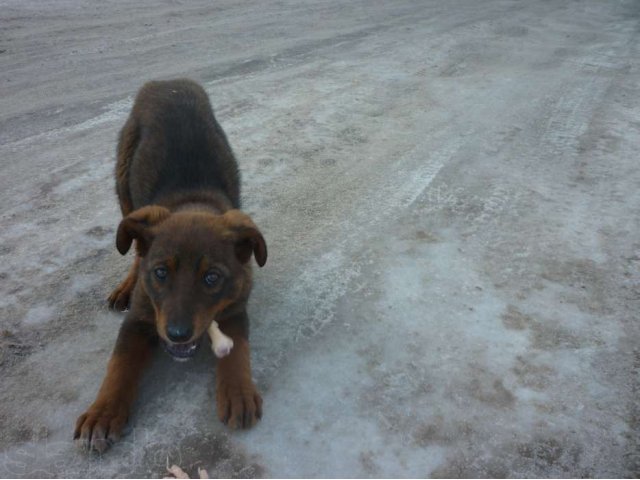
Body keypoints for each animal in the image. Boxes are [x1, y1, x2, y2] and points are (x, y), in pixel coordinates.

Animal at [74, 79, 266, 454]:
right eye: (161, 273)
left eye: (212, 278)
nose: (178, 334)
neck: (193, 203)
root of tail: (168, 82)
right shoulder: (138, 319)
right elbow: (118, 365)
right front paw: (103, 412)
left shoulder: (236, 306)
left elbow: (238, 349)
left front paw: (238, 390)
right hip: (124, 184)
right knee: (135, 248)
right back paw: (125, 285)